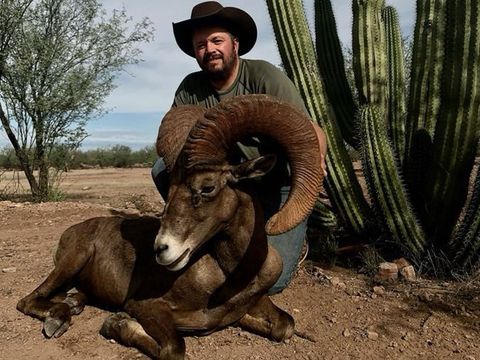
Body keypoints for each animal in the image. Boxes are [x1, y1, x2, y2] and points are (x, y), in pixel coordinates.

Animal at [18, 94, 326, 358]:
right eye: (170, 188)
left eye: (207, 187)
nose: (162, 249)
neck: (231, 276)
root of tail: (71, 231)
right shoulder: (147, 307)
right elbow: (173, 349)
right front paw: (116, 323)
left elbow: (284, 327)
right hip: (73, 260)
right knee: (28, 300)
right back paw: (58, 319)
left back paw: (71, 304)